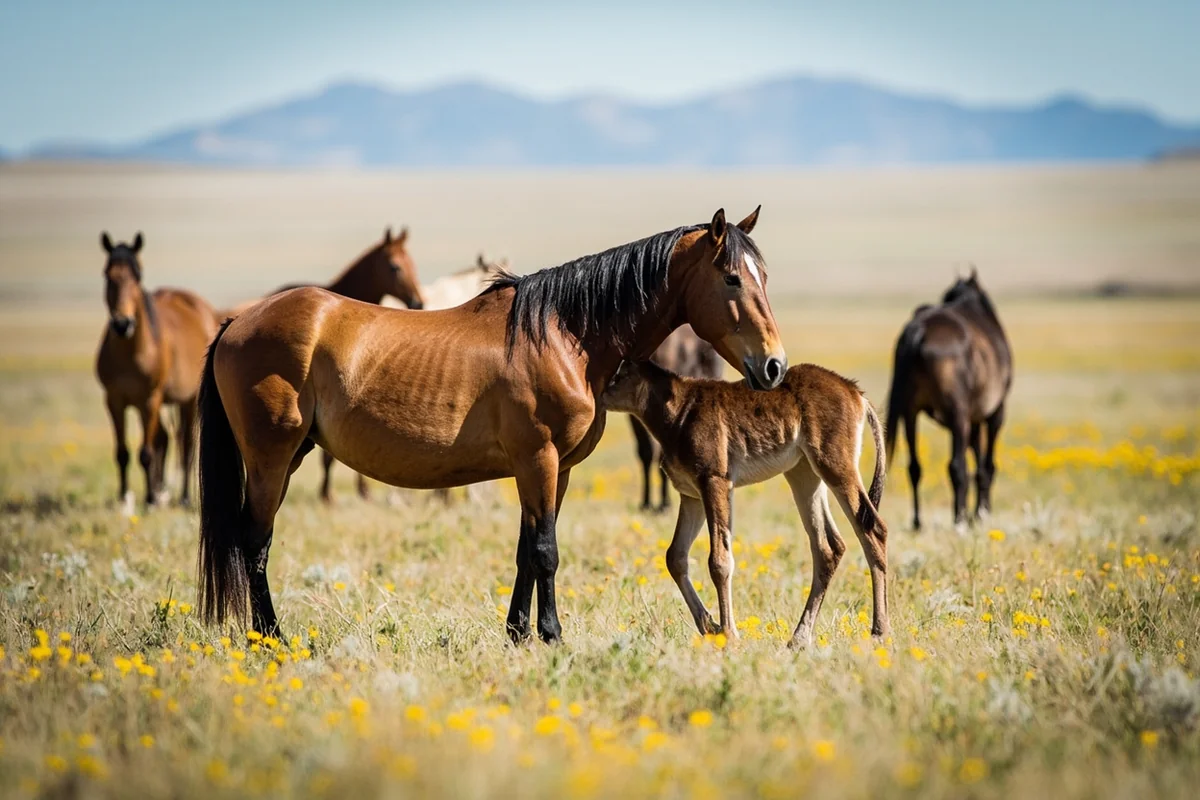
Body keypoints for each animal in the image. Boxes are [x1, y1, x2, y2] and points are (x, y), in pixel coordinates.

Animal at [95, 232, 218, 509]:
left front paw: (150, 499)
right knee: (164, 438)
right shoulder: (113, 400)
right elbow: (122, 452)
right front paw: (125, 497)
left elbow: (146, 452)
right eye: (108, 275)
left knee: (185, 445)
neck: (130, 353)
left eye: (137, 276)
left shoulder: (149, 399)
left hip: (186, 400)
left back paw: (183, 497)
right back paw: (163, 491)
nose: (122, 324)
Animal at [218, 227, 426, 503]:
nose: (417, 302)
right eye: (395, 267)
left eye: (413, 264)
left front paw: (361, 491)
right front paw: (327, 494)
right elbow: (329, 457)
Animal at [603, 360, 889, 646]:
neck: (679, 409)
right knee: (828, 547)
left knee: (873, 531)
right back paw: (799, 638)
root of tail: (856, 393)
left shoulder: (715, 482)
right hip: (804, 474)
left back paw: (879, 631)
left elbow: (719, 560)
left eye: (620, 373)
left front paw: (729, 634)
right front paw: (710, 626)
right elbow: (675, 556)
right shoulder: (692, 496)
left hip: (835, 467)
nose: (602, 394)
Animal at [884, 269, 1012, 530]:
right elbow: (987, 464)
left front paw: (977, 512)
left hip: (910, 412)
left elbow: (978, 459)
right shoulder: (995, 412)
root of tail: (918, 330)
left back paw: (918, 522)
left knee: (914, 467)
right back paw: (959, 520)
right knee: (956, 466)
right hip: (958, 415)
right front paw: (982, 512)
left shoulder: (973, 418)